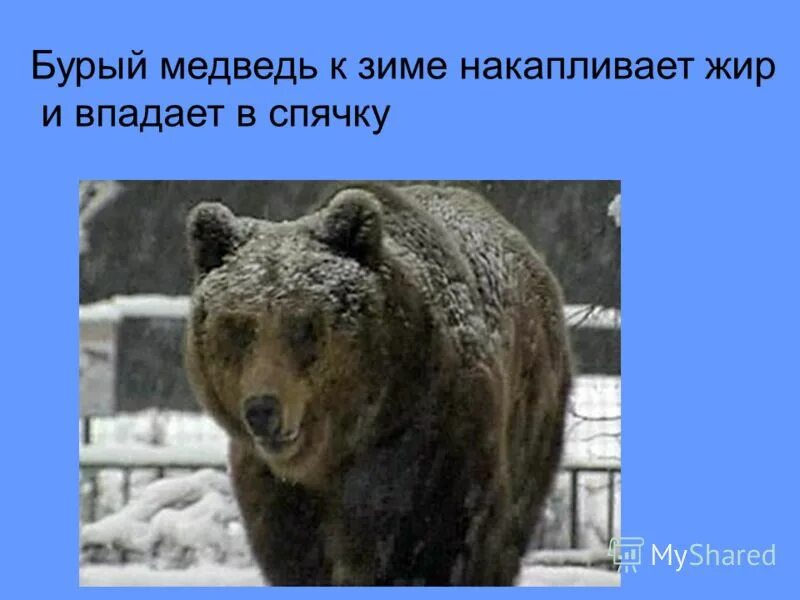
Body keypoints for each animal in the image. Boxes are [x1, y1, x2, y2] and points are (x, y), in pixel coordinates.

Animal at [184, 183, 572, 585]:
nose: (262, 410)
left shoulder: (437, 456)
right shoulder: (281, 499)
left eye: (303, 324)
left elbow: (447, 549)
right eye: (238, 327)